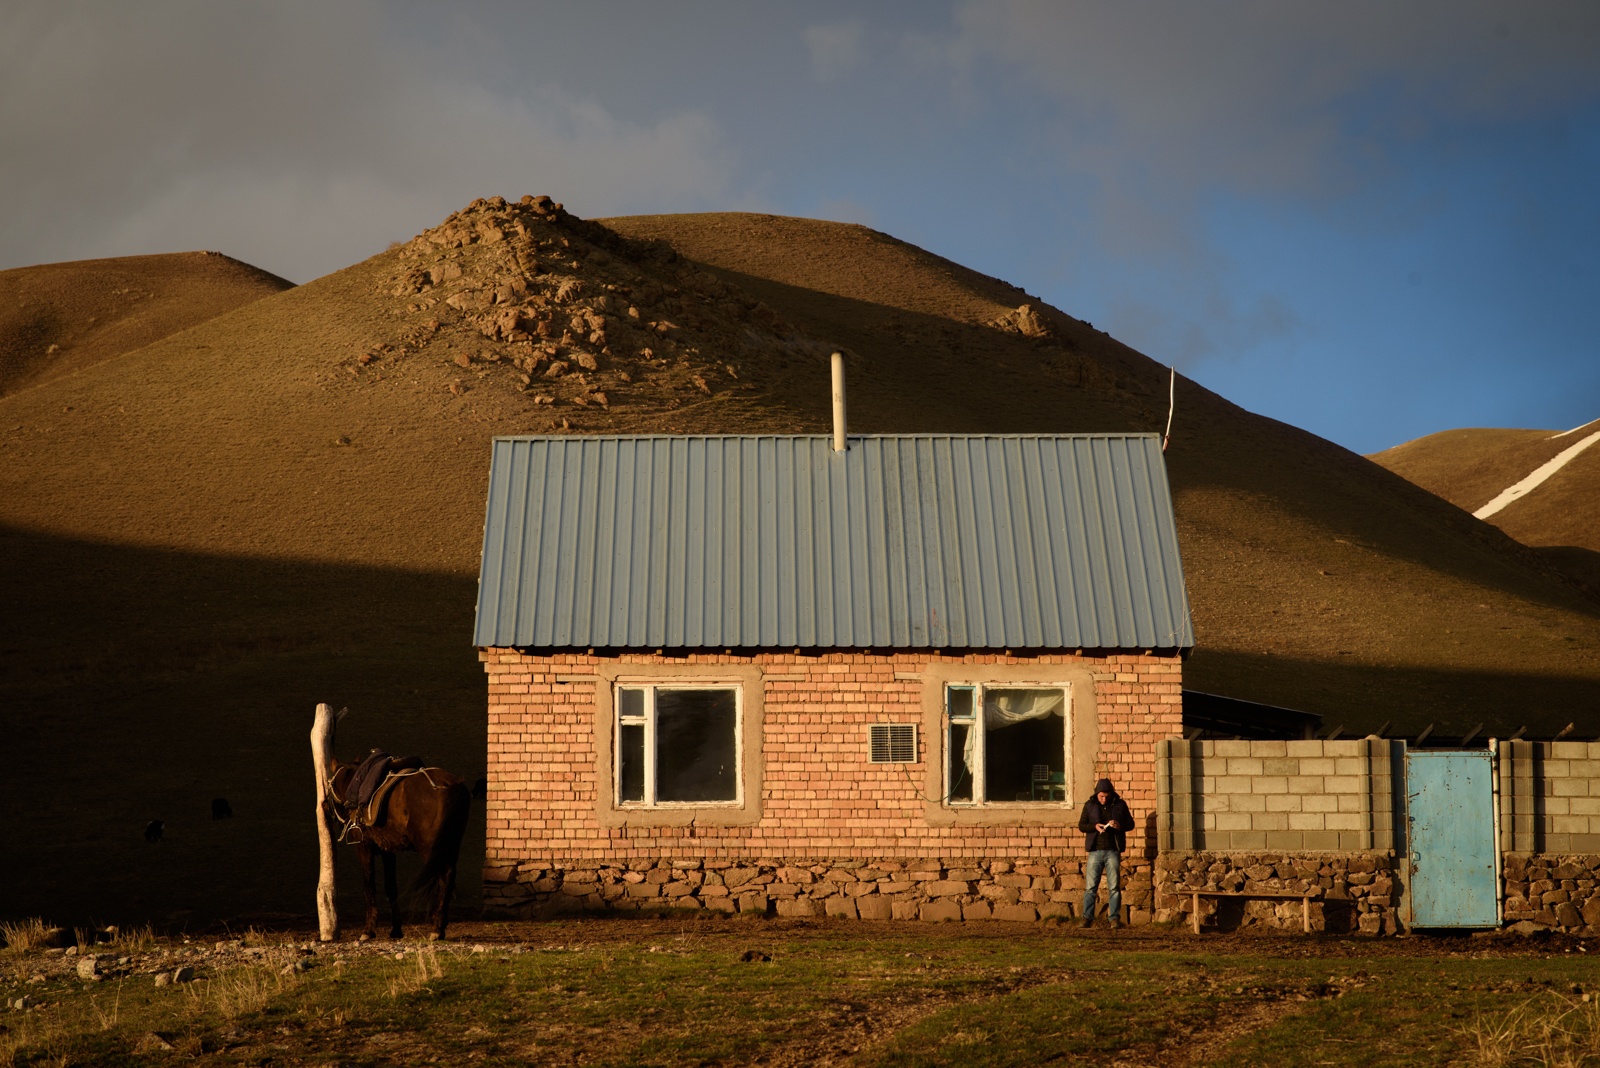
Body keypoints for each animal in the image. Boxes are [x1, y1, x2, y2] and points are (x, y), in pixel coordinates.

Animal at [321, 754, 470, 940]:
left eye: (330, 784)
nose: (323, 805)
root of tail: (451, 785)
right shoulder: (388, 850)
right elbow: (391, 887)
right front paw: (396, 929)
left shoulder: (364, 847)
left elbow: (369, 885)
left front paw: (368, 930)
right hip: (451, 845)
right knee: (449, 876)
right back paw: (440, 924)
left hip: (431, 848)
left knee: (443, 876)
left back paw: (437, 927)